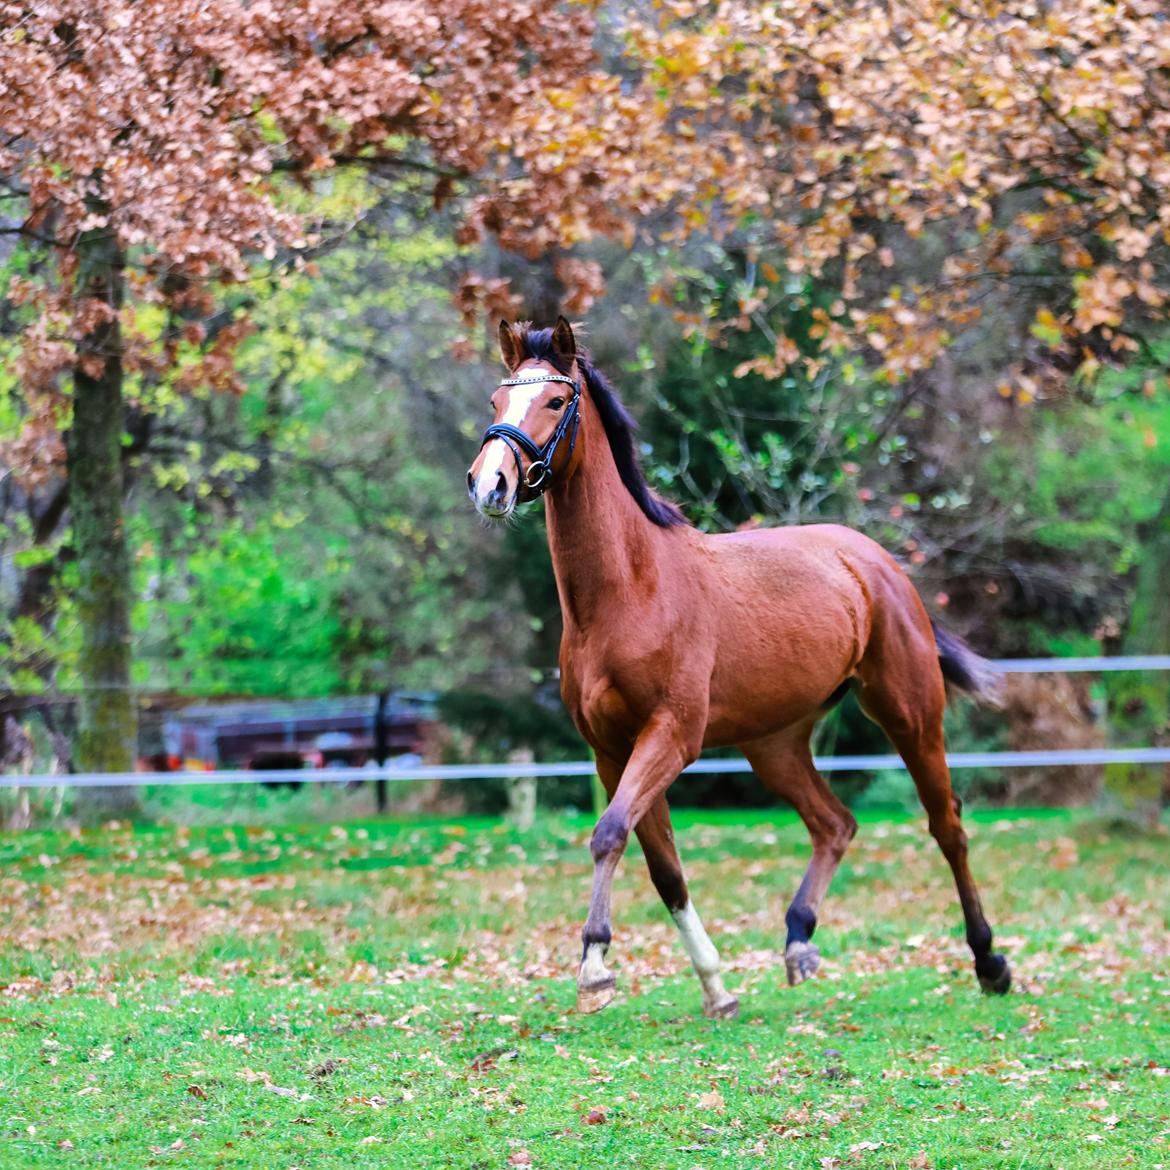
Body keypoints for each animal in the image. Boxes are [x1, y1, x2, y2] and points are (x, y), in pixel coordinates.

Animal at [460, 318, 1010, 1015]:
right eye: (495, 401)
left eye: (556, 401)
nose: (489, 485)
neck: (629, 591)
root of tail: (879, 564)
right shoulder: (612, 751)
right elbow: (663, 867)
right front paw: (716, 988)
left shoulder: (672, 736)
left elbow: (610, 833)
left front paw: (595, 966)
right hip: (774, 744)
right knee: (835, 824)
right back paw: (799, 942)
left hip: (909, 715)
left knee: (947, 826)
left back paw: (990, 962)